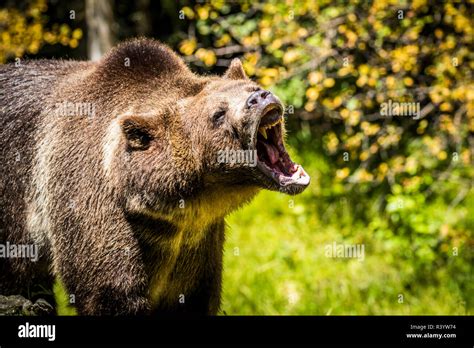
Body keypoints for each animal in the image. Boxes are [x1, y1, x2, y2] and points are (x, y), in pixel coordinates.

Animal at [0, 38, 310, 316]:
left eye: (253, 87)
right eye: (218, 114)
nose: (259, 98)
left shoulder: (198, 243)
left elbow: (194, 298)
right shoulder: (92, 205)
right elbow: (110, 291)